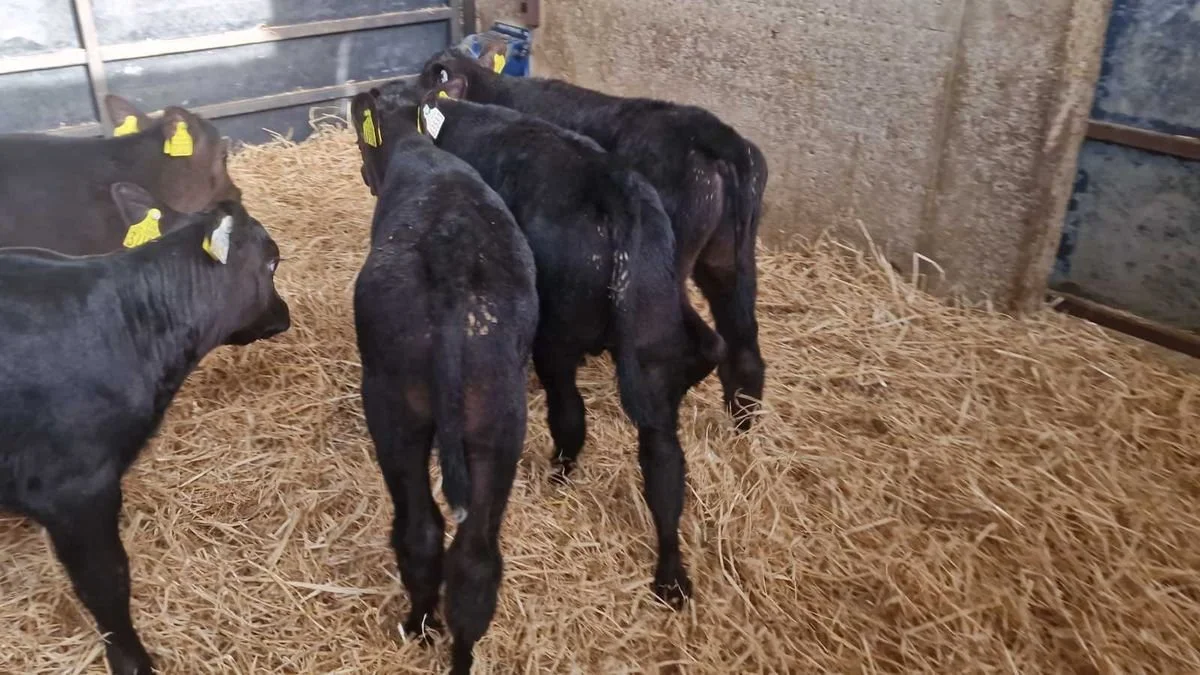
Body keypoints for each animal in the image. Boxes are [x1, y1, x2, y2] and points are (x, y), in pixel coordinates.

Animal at [350, 90, 538, 675]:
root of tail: (449, 257)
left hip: (393, 409)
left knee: (420, 532)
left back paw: (417, 625)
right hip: (498, 419)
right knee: (474, 562)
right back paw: (459, 654)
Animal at [375, 77, 721, 611]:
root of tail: (612, 190)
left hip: (557, 341)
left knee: (570, 414)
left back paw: (559, 476)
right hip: (651, 340)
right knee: (664, 459)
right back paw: (670, 579)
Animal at [413, 47, 769, 430]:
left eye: (428, 77)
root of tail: (717, 136)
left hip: (667, 272)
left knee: (705, 343)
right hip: (727, 259)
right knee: (742, 342)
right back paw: (742, 421)